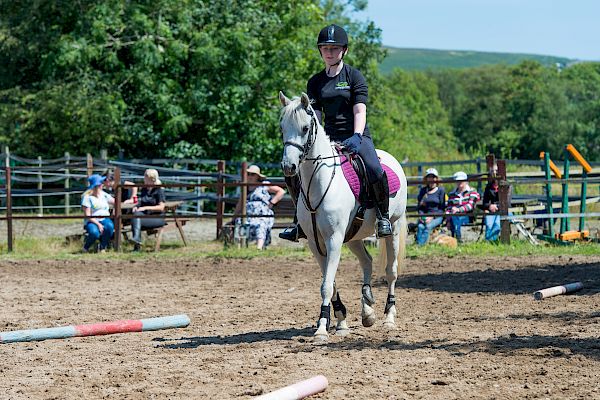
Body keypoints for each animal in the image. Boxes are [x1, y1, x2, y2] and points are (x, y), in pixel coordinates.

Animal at [280, 92, 408, 340]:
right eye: (282, 128)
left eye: (304, 128)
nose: (288, 166)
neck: (318, 183)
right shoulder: (316, 243)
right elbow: (330, 282)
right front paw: (340, 321)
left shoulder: (333, 239)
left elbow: (326, 285)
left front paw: (322, 328)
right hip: (353, 237)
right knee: (367, 261)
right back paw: (367, 310)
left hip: (394, 229)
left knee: (391, 272)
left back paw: (389, 317)